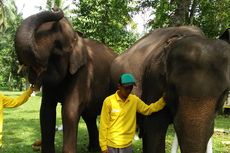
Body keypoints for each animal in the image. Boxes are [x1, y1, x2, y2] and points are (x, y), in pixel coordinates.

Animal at [14, 8, 117, 152]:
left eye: (57, 48)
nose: (56, 8)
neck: (77, 38)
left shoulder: (83, 72)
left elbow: (70, 109)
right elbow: (46, 111)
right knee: (89, 116)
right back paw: (94, 149)